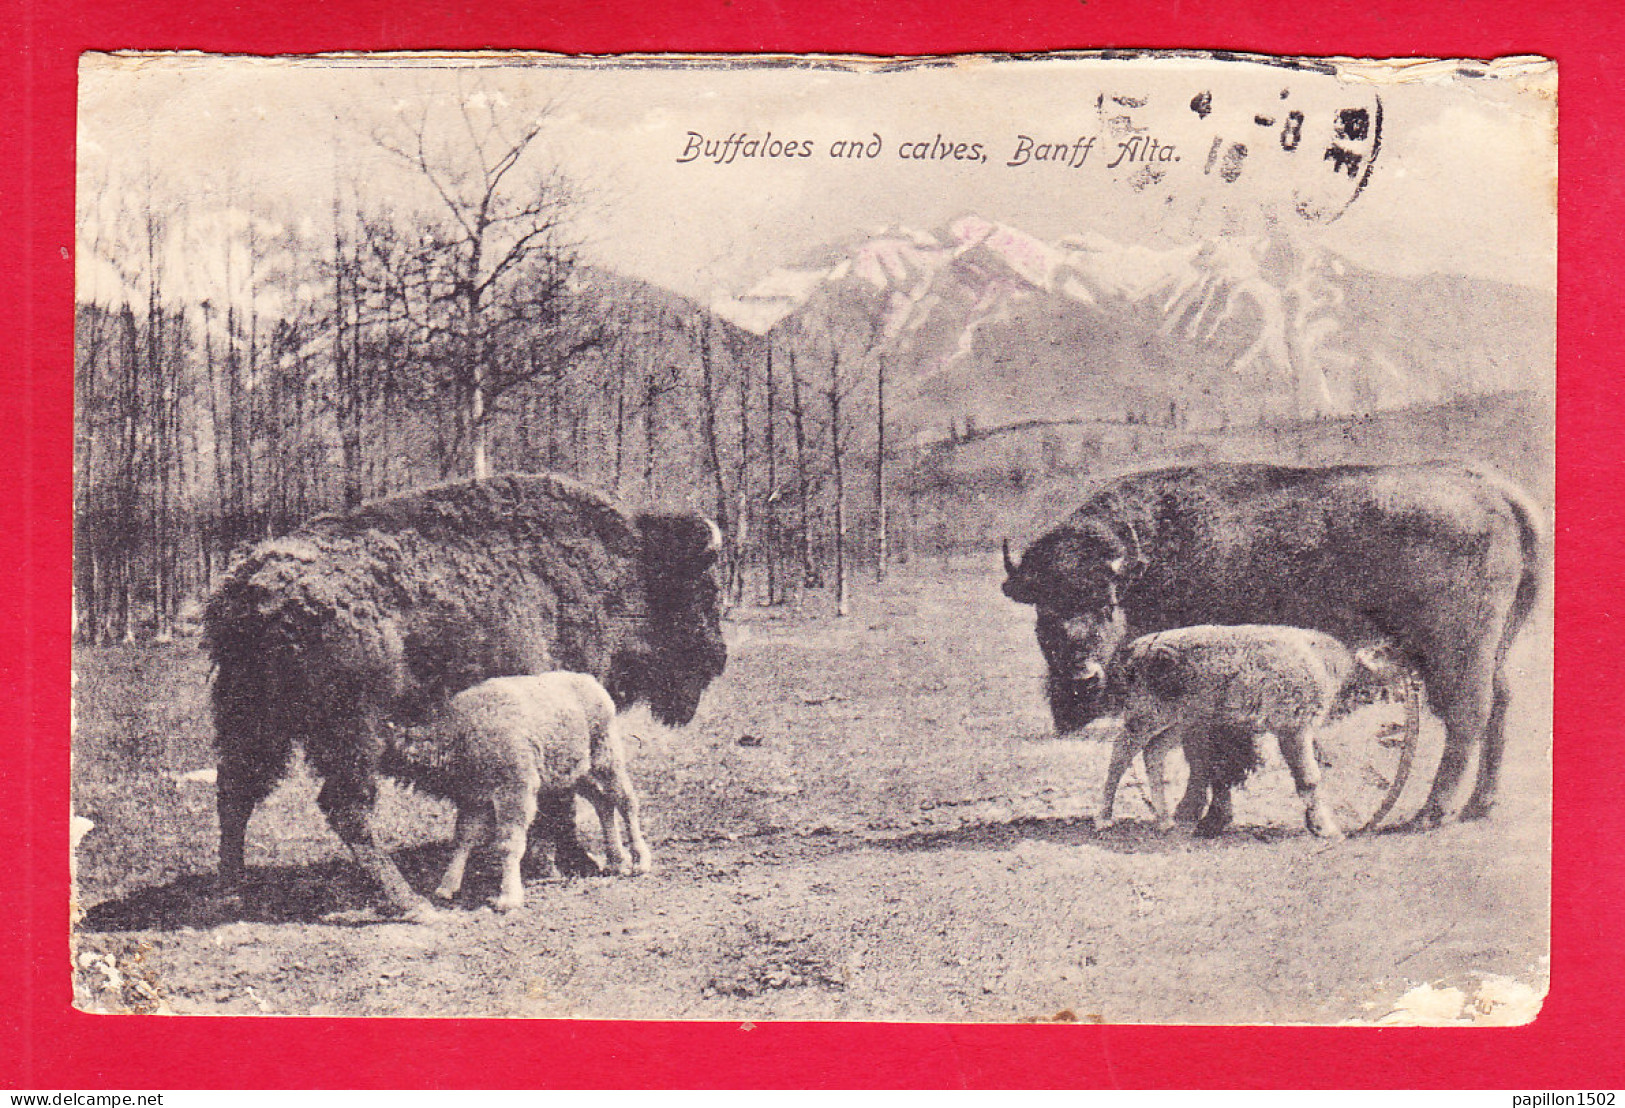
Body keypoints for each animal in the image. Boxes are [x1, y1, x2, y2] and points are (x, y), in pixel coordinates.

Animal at [409, 669, 650, 909]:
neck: (462, 733)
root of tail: (590, 682)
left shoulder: (515, 792)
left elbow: (508, 842)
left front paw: (508, 898)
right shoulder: (473, 798)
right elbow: (464, 837)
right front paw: (446, 886)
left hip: (606, 759)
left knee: (626, 801)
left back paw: (640, 861)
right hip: (577, 774)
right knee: (603, 803)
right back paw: (617, 861)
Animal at [1098, 627, 1391, 831]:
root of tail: (1137, 648)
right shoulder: (1294, 728)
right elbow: (1309, 777)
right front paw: (1327, 829)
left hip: (1177, 723)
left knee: (1153, 754)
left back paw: (1165, 821)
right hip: (1144, 718)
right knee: (1119, 755)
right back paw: (1104, 819)